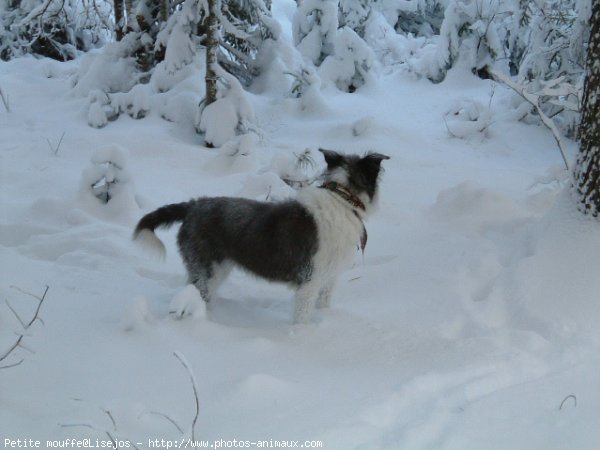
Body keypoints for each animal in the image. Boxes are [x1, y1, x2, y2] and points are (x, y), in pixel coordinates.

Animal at [132, 149, 390, 322]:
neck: (343, 198)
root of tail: (193, 206)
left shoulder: (328, 278)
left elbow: (324, 302)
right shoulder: (310, 280)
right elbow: (303, 316)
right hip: (206, 268)